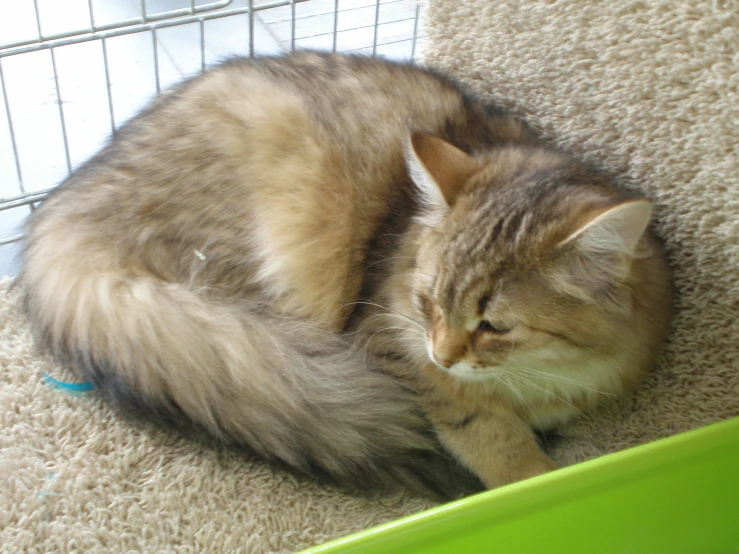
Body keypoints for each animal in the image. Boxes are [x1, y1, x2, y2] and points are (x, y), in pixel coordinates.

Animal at [20, 51, 672, 498]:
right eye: (428, 303)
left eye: (495, 326)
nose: (442, 353)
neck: (547, 377)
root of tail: (60, 216)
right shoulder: (390, 337)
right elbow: (483, 429)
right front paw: (535, 478)